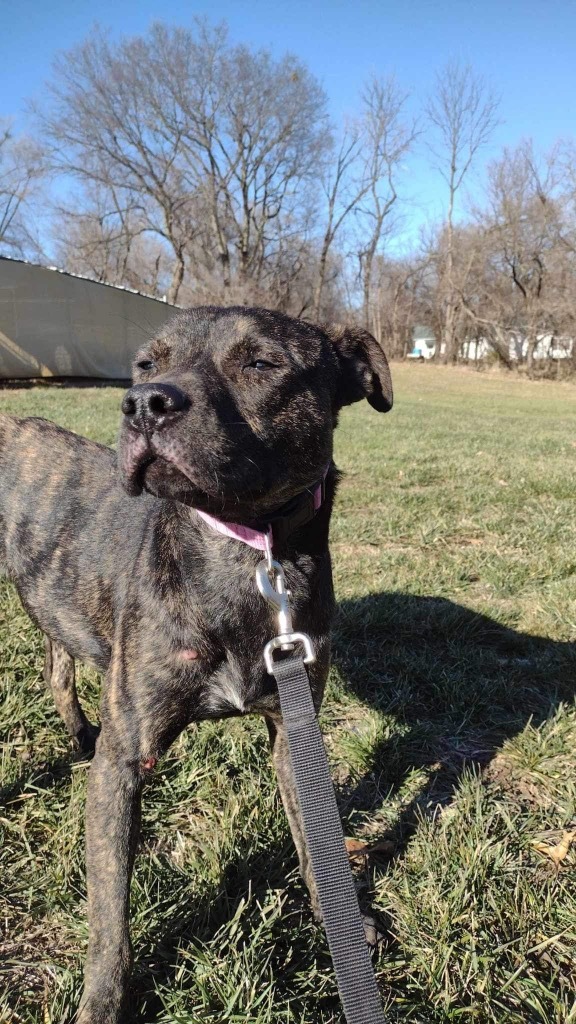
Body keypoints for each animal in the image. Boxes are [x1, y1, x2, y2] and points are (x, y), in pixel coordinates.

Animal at [0, 305, 389, 1024]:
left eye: (261, 364)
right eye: (145, 365)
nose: (143, 404)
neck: (246, 558)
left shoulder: (294, 734)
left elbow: (316, 842)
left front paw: (344, 923)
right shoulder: (126, 760)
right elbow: (111, 916)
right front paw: (102, 1003)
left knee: (57, 670)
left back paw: (77, 733)